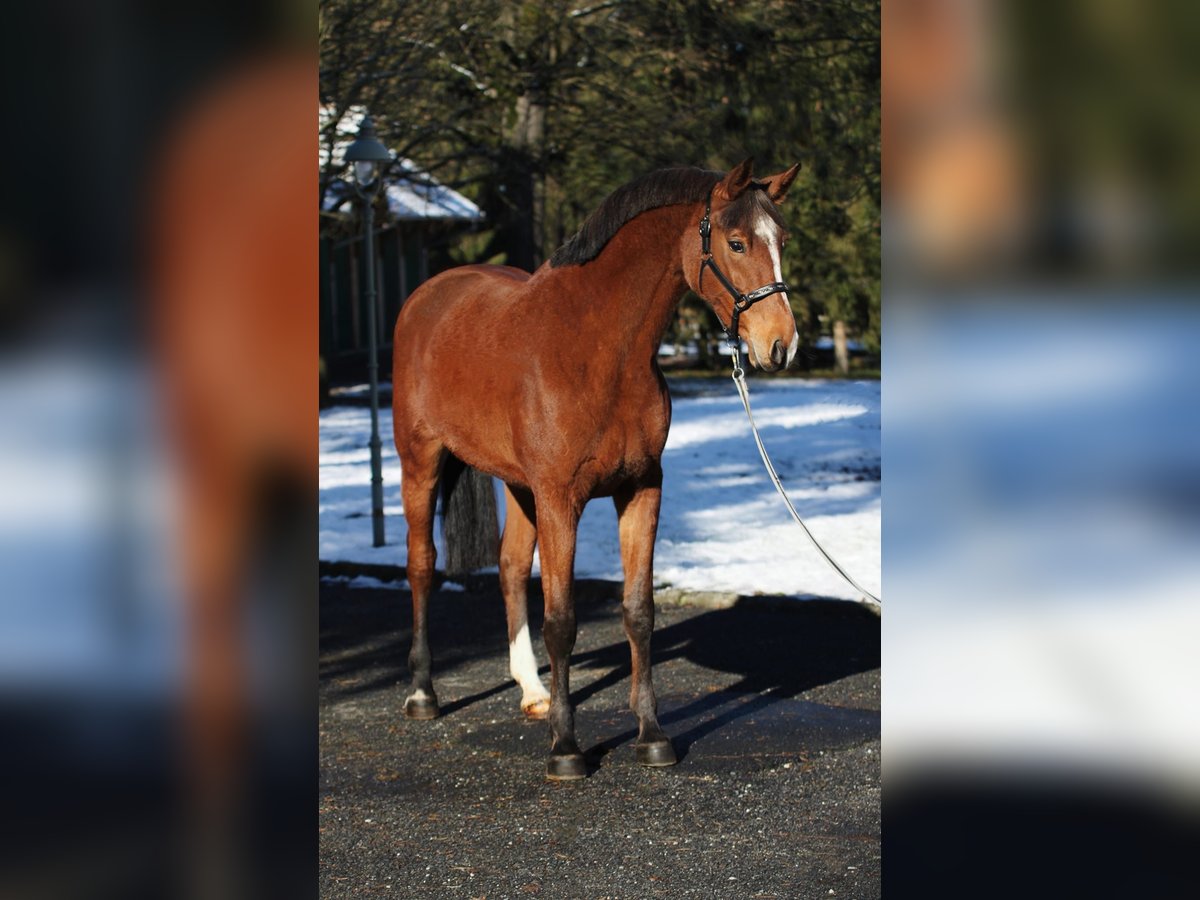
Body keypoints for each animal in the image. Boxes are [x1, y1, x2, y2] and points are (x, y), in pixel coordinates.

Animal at [393, 158, 801, 777]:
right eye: (736, 242)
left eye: (782, 240)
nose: (782, 344)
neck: (601, 349)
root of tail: (428, 294)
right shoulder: (562, 498)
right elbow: (562, 620)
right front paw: (566, 748)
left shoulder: (641, 489)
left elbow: (638, 610)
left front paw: (652, 735)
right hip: (421, 461)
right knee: (422, 565)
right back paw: (424, 694)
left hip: (518, 486)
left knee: (510, 567)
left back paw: (532, 692)